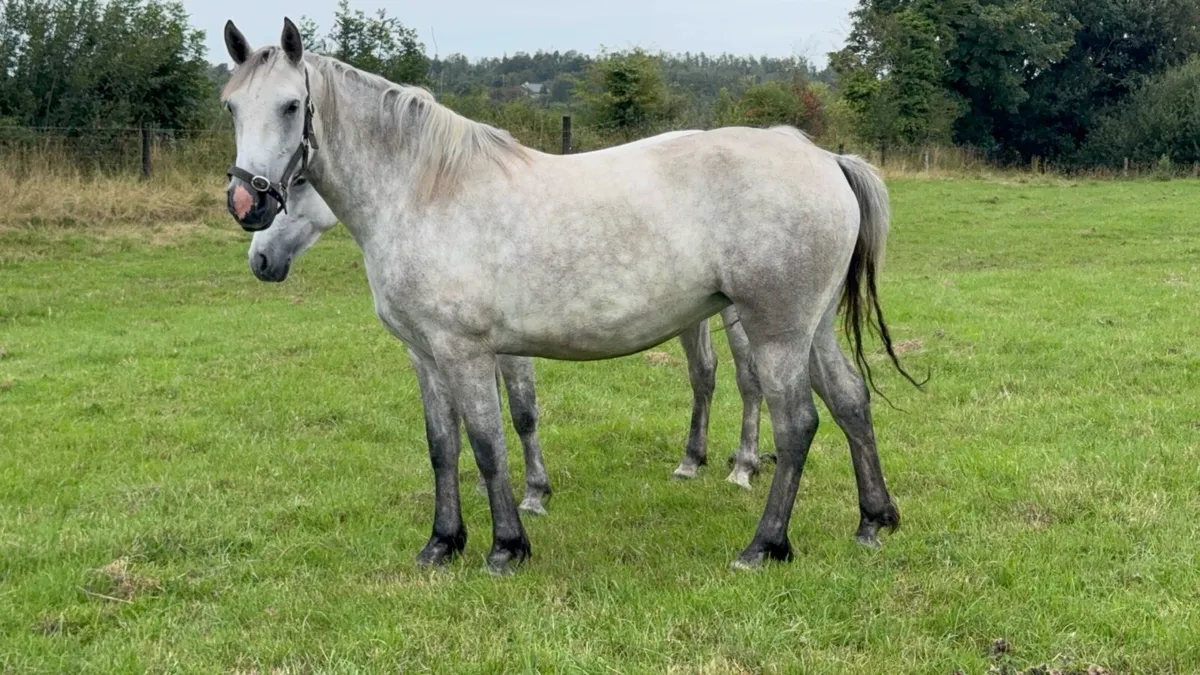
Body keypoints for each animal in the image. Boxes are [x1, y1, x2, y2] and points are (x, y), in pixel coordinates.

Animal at [246, 131, 771, 511]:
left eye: (299, 182)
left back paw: (744, 466)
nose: (261, 260)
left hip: (738, 312)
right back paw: (691, 462)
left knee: (749, 380)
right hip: (692, 318)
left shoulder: (506, 348)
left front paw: (535, 494)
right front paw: (487, 487)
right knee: (703, 375)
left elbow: (521, 414)